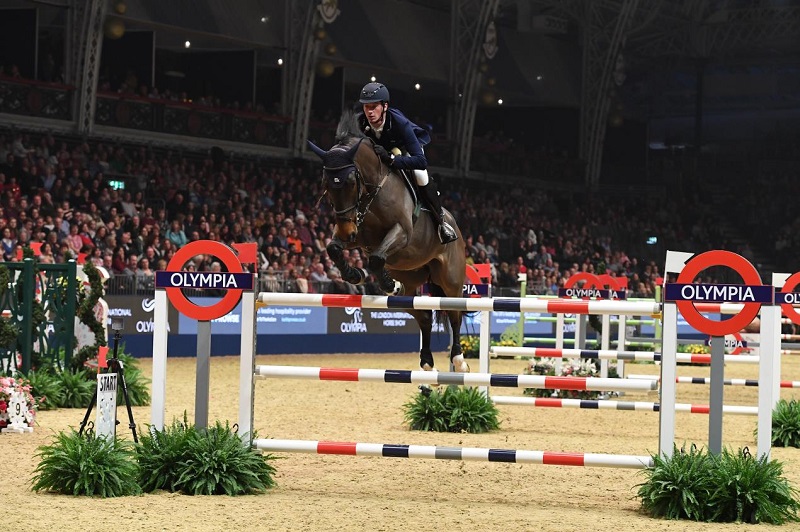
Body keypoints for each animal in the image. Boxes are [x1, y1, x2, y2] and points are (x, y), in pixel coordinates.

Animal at [308, 109, 468, 372]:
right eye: (325, 184)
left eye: (350, 181)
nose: (346, 231)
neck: (373, 191)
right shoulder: (358, 235)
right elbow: (334, 248)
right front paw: (355, 274)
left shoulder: (401, 232)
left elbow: (375, 258)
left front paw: (384, 282)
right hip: (411, 280)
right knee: (423, 316)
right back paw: (426, 361)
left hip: (450, 280)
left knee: (455, 313)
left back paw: (458, 358)